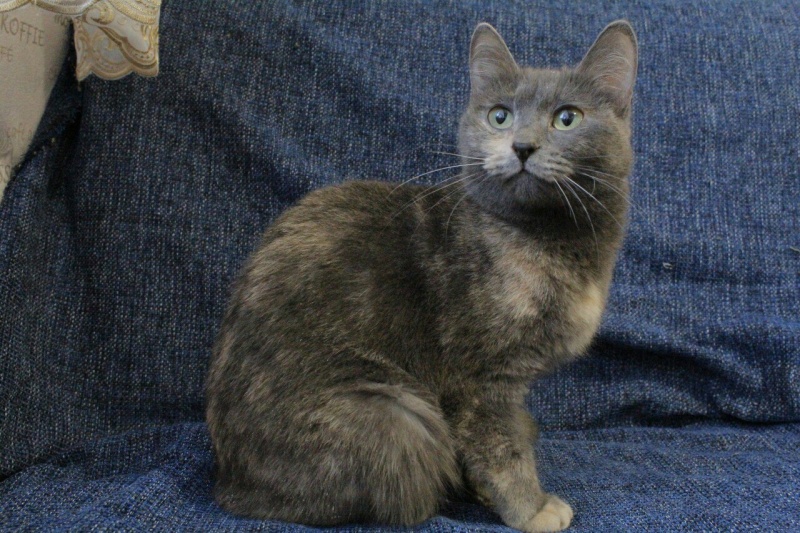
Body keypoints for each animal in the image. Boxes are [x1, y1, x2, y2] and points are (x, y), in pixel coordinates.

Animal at [206, 20, 637, 533]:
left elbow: (508, 434)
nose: (522, 146)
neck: (551, 239)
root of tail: (227, 482)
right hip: (399, 417)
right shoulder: (478, 377)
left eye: (567, 118)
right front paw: (531, 509)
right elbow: (501, 447)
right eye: (499, 116)